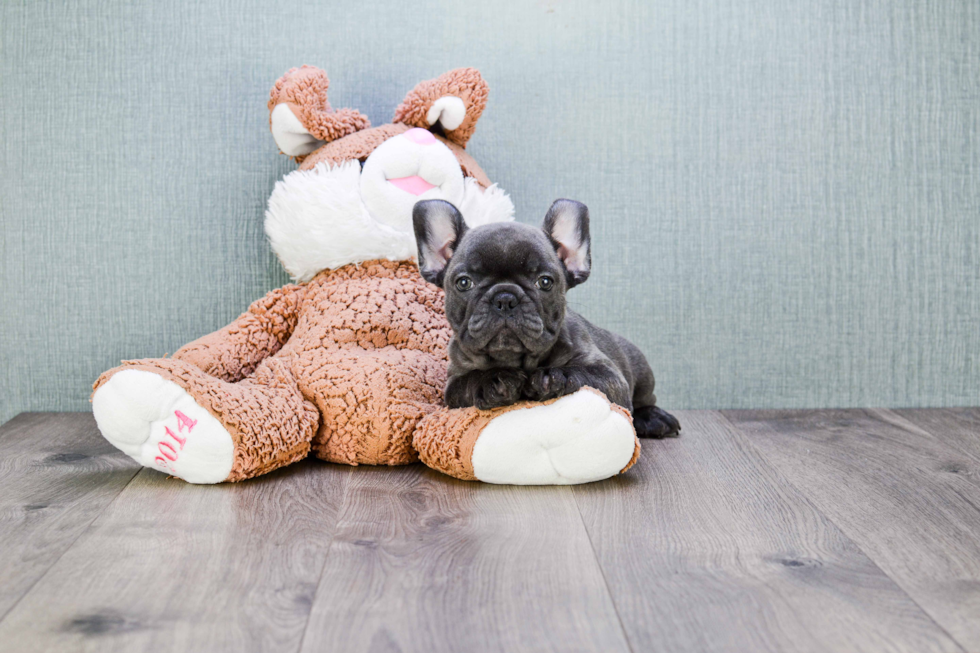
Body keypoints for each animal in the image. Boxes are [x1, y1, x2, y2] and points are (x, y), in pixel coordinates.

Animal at [414, 196, 680, 436]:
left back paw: (654, 419)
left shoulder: (611, 377)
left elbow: (584, 373)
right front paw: (494, 380)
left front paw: (551, 376)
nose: (504, 298)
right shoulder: (453, 382)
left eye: (544, 282)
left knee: (645, 399)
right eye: (463, 283)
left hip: (641, 369)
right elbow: (469, 382)